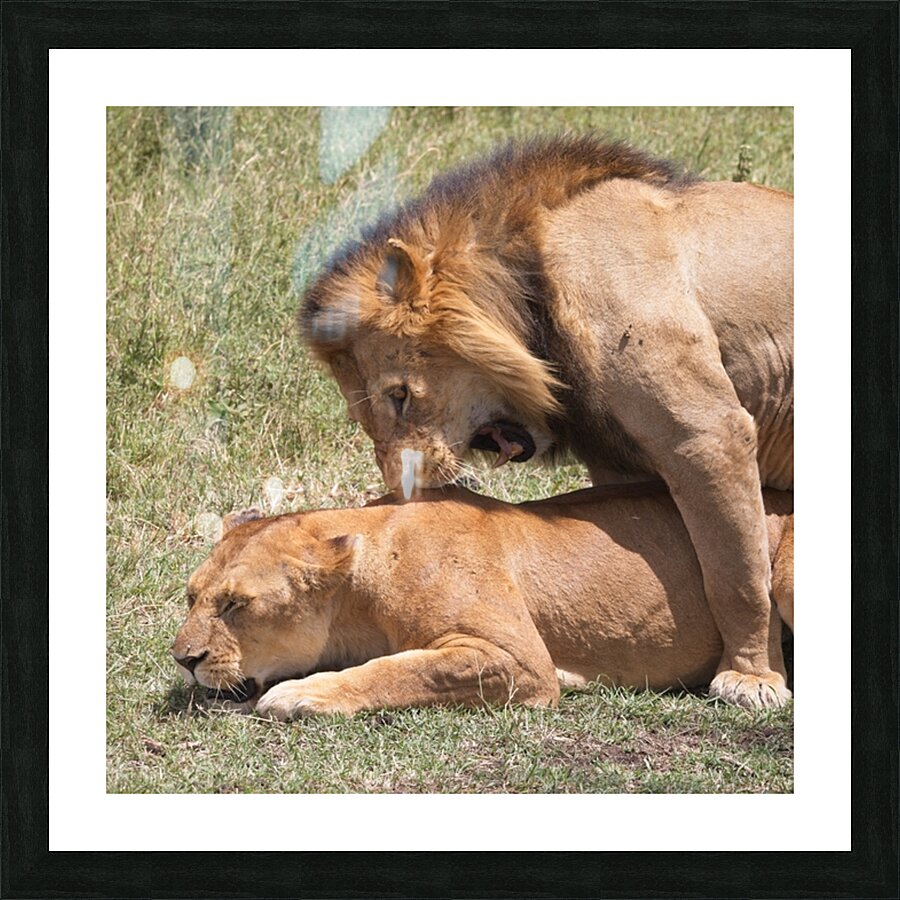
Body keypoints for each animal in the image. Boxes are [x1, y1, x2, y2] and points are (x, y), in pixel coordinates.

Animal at [171, 484, 794, 718]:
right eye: (193, 596)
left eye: (236, 605)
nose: (184, 660)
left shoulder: (520, 661)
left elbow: (401, 670)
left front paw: (301, 693)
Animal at [300, 136, 793, 708]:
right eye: (364, 419)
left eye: (399, 396)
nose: (403, 491)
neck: (533, 284)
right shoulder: (625, 467)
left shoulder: (709, 433)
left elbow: (738, 573)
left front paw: (751, 678)